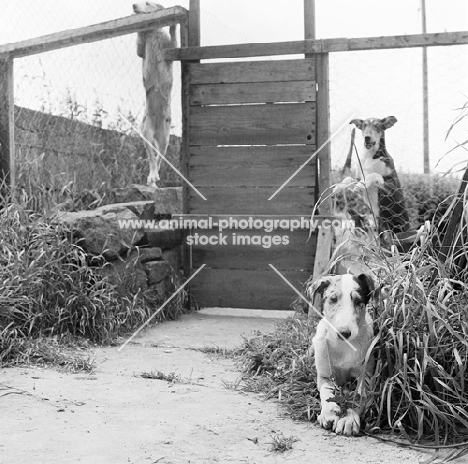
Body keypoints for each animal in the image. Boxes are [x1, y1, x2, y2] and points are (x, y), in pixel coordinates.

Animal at [308, 274, 376, 436]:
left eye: (357, 301)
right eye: (333, 299)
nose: (344, 333)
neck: (345, 346)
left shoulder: (366, 378)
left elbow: (358, 398)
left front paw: (348, 420)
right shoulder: (325, 376)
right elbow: (326, 392)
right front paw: (329, 412)